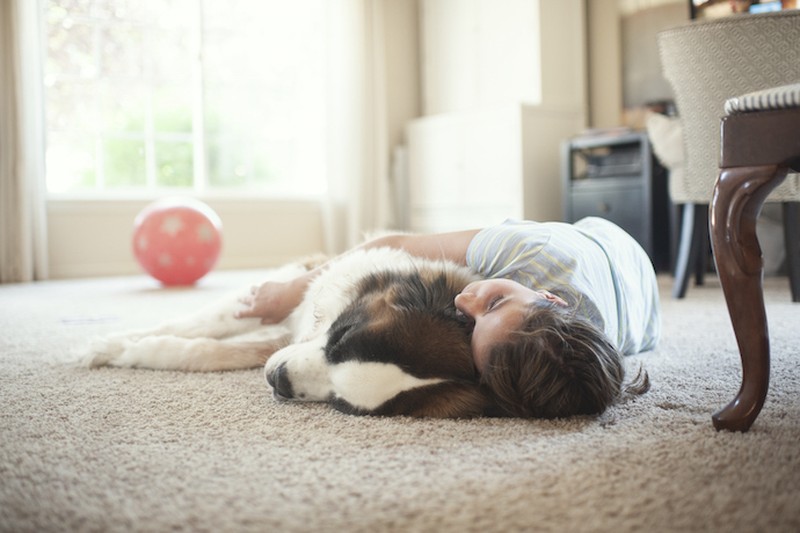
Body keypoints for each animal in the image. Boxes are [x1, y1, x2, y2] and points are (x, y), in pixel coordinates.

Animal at [79, 247, 494, 418]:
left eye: (339, 403)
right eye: (342, 337)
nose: (279, 380)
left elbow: (201, 352)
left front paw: (130, 351)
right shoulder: (285, 291)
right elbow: (196, 326)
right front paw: (109, 346)